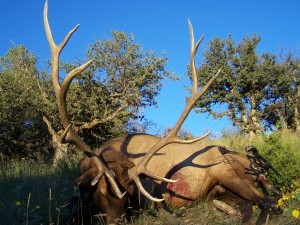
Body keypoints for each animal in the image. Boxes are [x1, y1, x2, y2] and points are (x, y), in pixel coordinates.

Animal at [43, 0, 282, 224]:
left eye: (129, 195)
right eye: (100, 193)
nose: (117, 221)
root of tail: (250, 162)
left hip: (229, 173)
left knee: (270, 202)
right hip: (223, 190)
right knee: (250, 206)